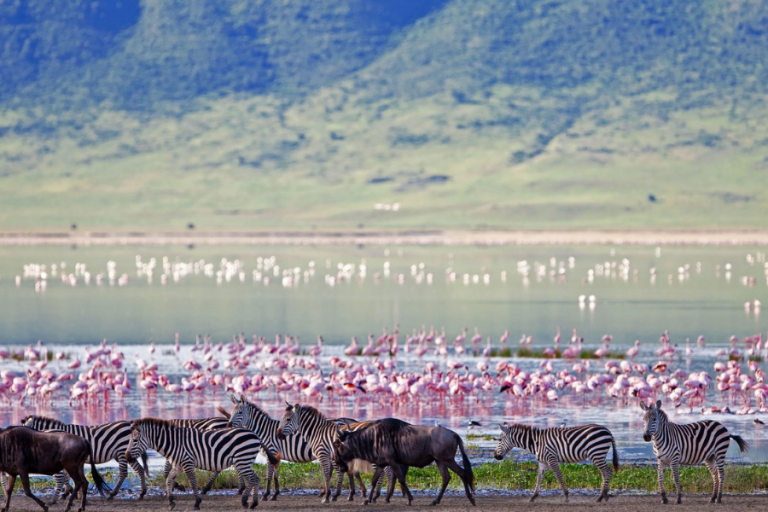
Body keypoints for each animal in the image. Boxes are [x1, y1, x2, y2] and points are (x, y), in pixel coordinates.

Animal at [20, 416, 148, 500]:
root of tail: (130, 424)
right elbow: (68, 476)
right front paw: (70, 492)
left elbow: (66, 476)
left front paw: (68, 492)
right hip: (125, 454)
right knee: (139, 469)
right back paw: (142, 493)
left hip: (122, 452)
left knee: (123, 473)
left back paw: (113, 494)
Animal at [123, 418, 272, 510]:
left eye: (134, 440)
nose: (127, 457)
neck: (174, 443)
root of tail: (254, 434)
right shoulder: (178, 465)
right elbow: (169, 480)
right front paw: (171, 501)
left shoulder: (187, 463)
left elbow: (193, 482)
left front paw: (197, 503)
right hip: (244, 461)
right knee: (252, 479)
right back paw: (247, 502)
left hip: (243, 460)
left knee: (254, 479)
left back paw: (252, 503)